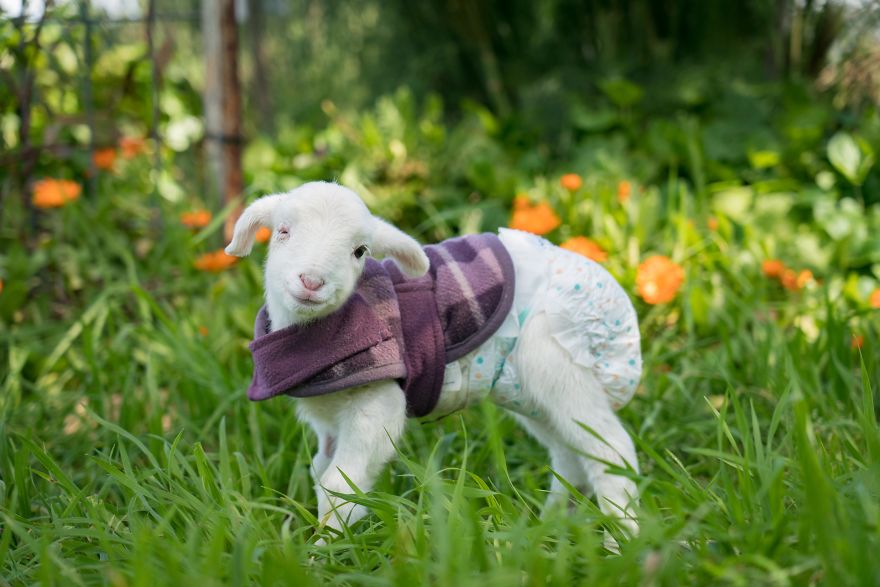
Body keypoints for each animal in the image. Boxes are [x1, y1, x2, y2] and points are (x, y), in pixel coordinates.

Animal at [226, 181, 641, 545]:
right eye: (283, 231)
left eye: (360, 251)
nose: (312, 281)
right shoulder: (328, 424)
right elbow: (320, 472)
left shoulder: (378, 407)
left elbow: (339, 487)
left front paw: (325, 550)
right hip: (529, 397)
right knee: (570, 455)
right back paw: (549, 525)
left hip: (560, 367)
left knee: (612, 451)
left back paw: (621, 541)